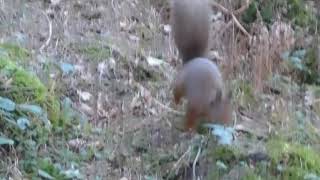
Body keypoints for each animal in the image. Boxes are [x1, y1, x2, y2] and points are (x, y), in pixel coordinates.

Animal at [170, 0, 232, 131]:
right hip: (181, 84)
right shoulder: (195, 103)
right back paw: (175, 104)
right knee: (176, 93)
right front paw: (189, 129)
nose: (227, 125)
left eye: (230, 112)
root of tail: (191, 61)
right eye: (220, 115)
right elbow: (190, 117)